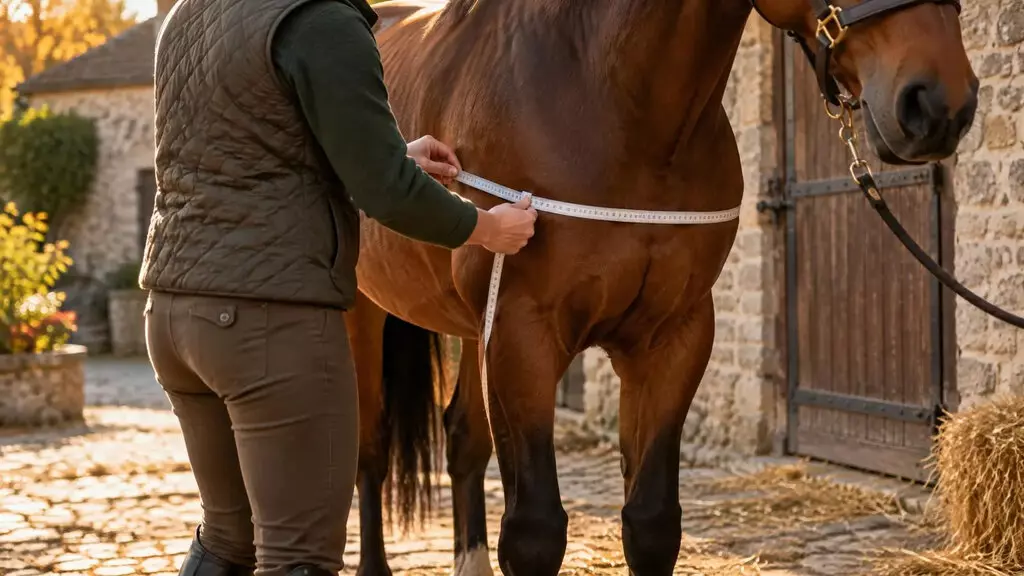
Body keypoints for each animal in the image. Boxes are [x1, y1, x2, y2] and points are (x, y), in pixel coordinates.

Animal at [343, 0, 977, 574]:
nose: (941, 103)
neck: (606, 99)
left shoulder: (671, 338)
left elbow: (650, 522)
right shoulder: (523, 335)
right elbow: (534, 534)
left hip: (476, 331)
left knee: (462, 439)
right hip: (364, 317)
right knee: (369, 447)